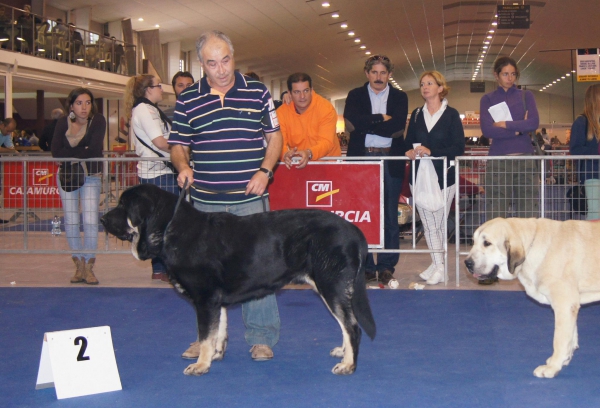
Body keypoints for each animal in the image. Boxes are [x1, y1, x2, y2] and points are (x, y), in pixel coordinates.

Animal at [102, 185, 376, 376]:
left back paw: (348, 365)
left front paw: (200, 366)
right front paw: (214, 356)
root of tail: (354, 230)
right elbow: (218, 333)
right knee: (346, 324)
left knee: (352, 327)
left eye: (123, 206)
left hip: (331, 284)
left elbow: (205, 335)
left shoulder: (205, 299)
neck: (170, 227)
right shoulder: (216, 301)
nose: (102, 219)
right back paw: (343, 353)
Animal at [466, 218, 600, 378]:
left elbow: (559, 339)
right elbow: (571, 335)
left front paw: (552, 367)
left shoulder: (564, 304)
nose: (467, 263)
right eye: (473, 241)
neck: (534, 246)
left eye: (487, 243)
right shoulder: (571, 306)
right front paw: (564, 359)